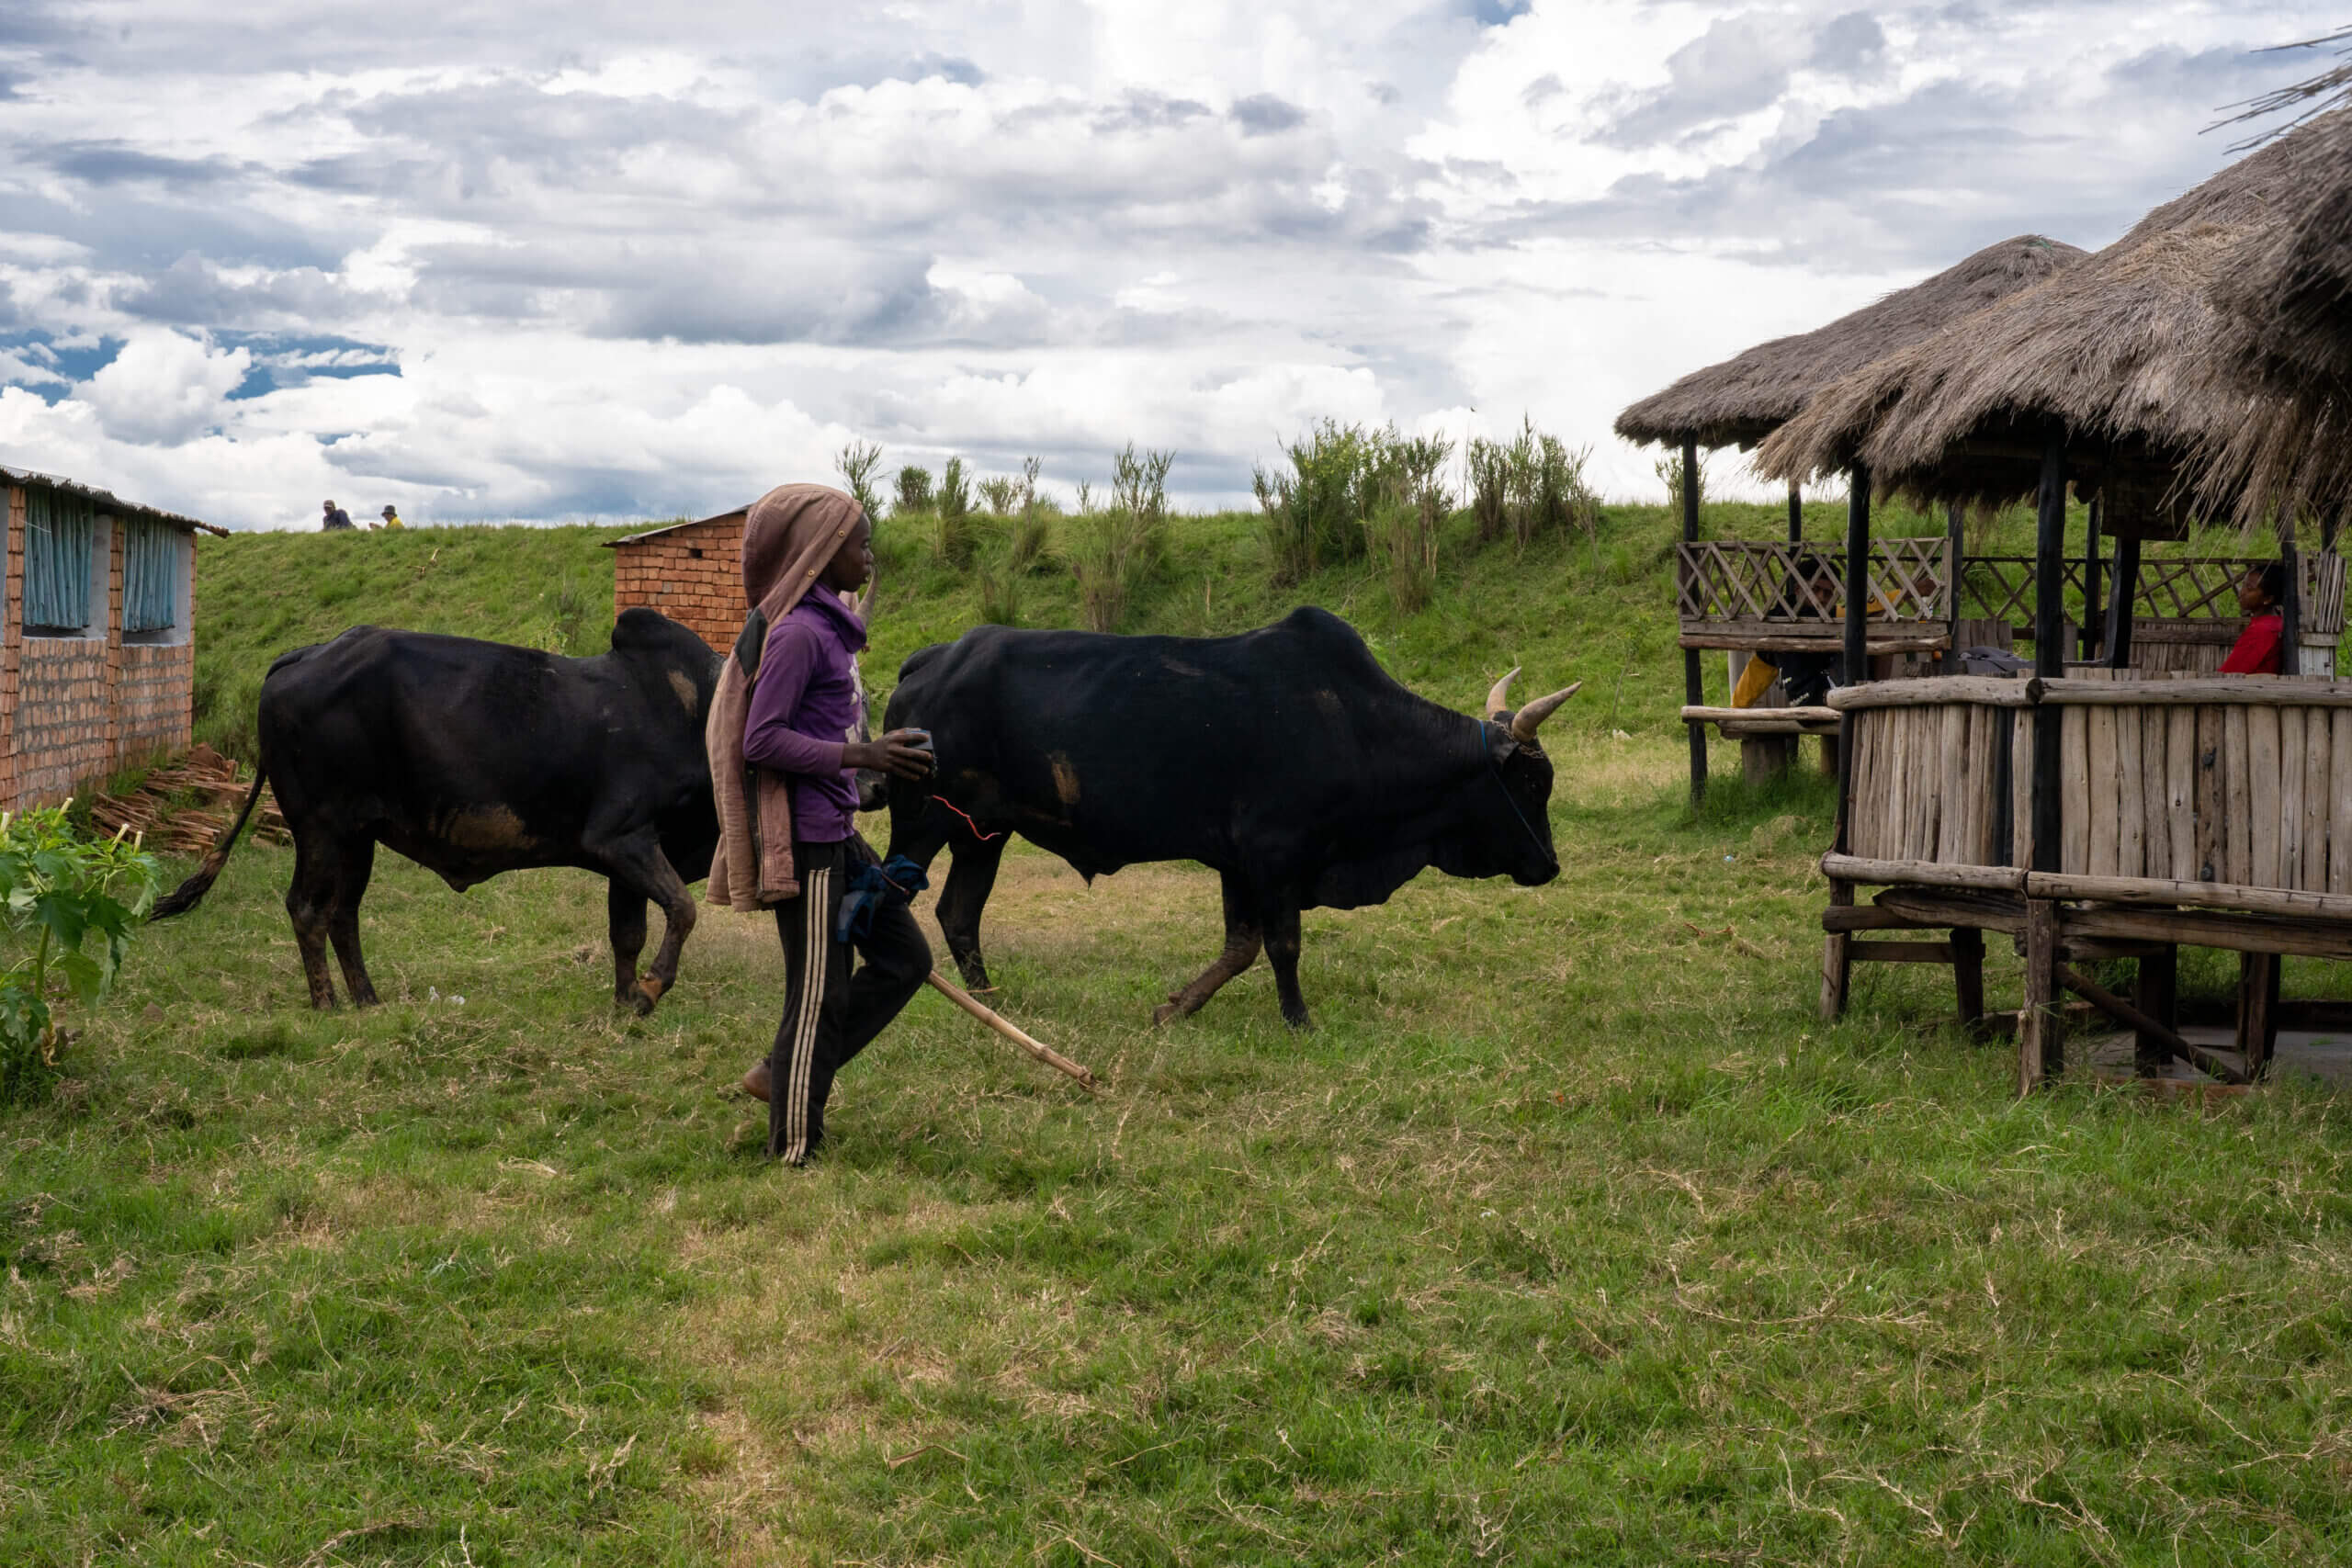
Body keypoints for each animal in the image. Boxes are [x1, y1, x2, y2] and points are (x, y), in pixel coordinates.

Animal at [153, 607, 721, 1014]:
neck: (696, 714)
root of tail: (305, 654)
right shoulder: (622, 838)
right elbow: (682, 909)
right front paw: (650, 990)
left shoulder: (629, 856)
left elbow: (628, 934)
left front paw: (627, 1002)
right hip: (318, 827)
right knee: (307, 909)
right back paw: (327, 1004)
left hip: (358, 836)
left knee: (343, 914)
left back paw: (368, 1000)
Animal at [881, 606, 1577, 1028]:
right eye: (1533, 780)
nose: (1549, 865)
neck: (1356, 723)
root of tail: (936, 657)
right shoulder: (1275, 856)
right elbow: (1283, 945)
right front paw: (1298, 1020)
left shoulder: (1238, 864)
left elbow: (1239, 948)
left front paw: (1175, 1007)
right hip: (920, 822)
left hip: (984, 833)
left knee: (959, 913)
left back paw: (991, 1002)